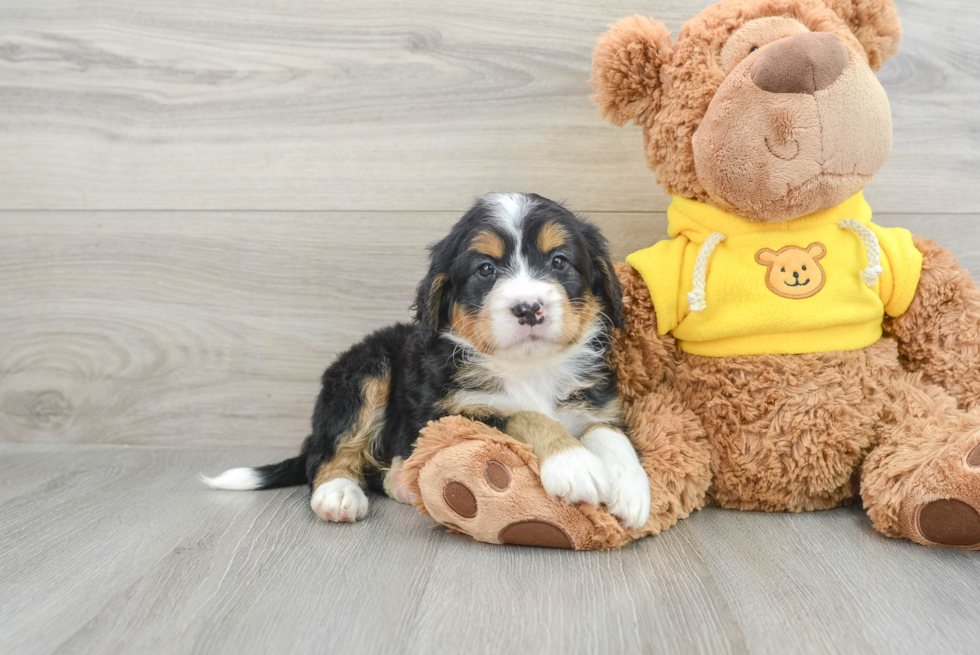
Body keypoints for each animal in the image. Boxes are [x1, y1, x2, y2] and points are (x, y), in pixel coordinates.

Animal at [204, 193, 652, 528]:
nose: (528, 308)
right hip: (365, 371)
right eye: (485, 269)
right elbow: (525, 416)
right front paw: (574, 464)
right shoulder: (449, 416)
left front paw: (630, 487)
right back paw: (339, 494)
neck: (529, 368)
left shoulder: (598, 400)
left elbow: (607, 432)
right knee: (327, 454)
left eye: (559, 261)